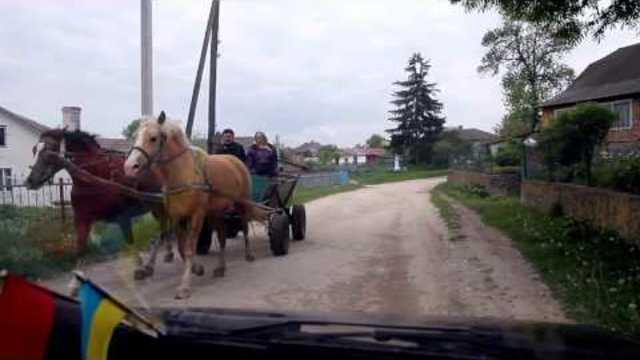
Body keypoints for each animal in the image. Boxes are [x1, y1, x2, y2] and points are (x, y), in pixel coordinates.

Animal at [122, 112, 262, 298]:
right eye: (135, 136)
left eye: (153, 138)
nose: (130, 167)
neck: (183, 173)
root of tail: (235, 160)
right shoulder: (177, 216)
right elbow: (182, 248)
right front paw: (197, 268)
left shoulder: (197, 215)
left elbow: (189, 249)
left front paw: (184, 287)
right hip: (216, 211)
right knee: (222, 236)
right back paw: (221, 267)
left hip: (242, 203)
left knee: (245, 227)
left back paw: (249, 254)